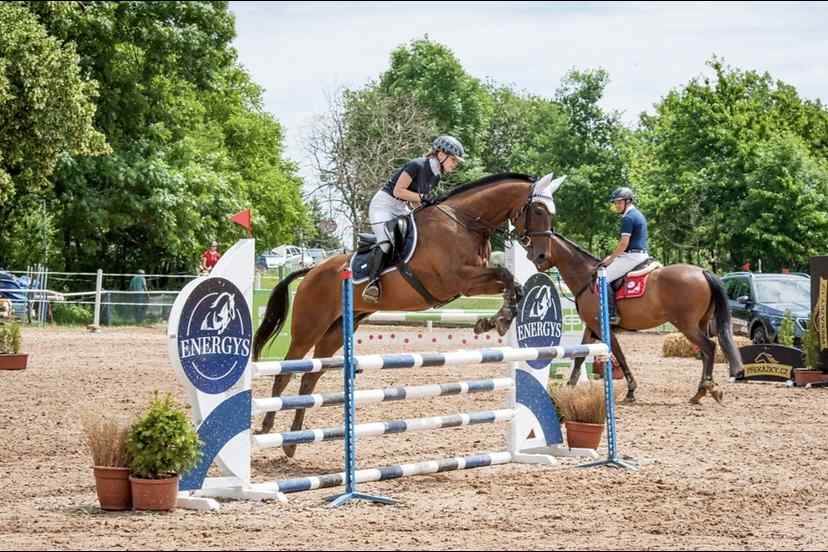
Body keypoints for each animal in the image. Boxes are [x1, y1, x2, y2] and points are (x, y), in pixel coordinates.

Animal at [252, 172, 564, 458]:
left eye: (551, 212)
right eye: (538, 210)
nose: (541, 258)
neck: (463, 223)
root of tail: (312, 270)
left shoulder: (472, 281)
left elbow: (514, 284)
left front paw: (496, 319)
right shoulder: (458, 280)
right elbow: (505, 274)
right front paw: (496, 320)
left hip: (337, 330)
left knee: (310, 377)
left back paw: (293, 442)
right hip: (309, 327)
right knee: (285, 373)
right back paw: (266, 429)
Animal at [516, 196, 744, 404]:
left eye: (540, 243)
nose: (537, 259)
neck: (587, 276)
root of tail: (703, 271)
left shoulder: (603, 328)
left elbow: (619, 355)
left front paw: (631, 391)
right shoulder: (591, 327)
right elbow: (580, 356)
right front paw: (569, 389)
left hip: (686, 324)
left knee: (709, 347)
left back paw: (706, 389)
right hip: (700, 323)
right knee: (705, 352)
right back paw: (703, 391)